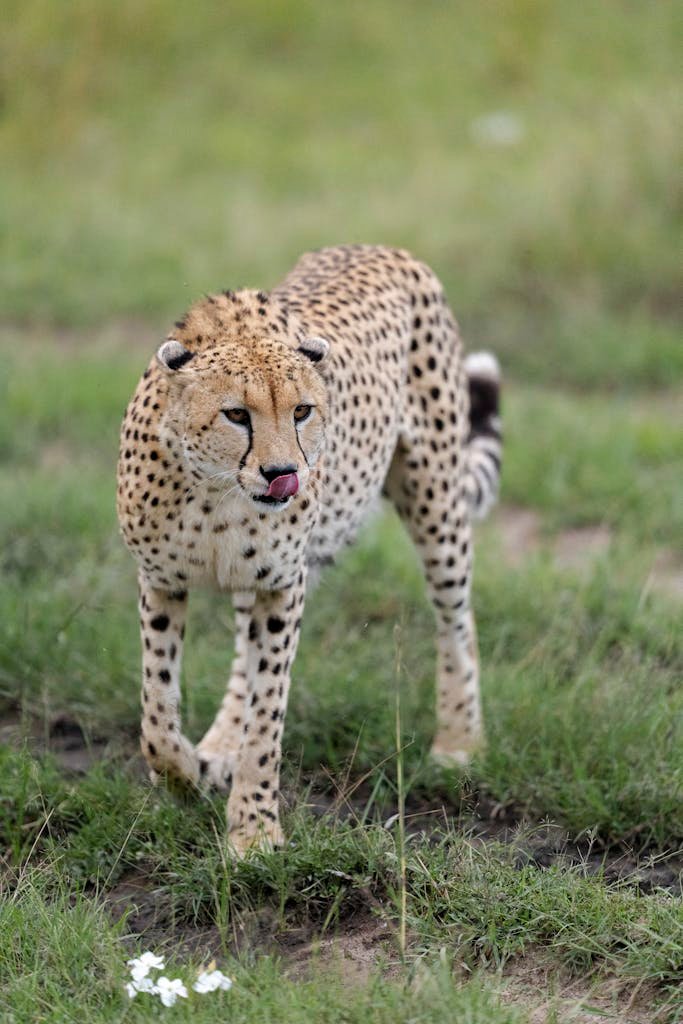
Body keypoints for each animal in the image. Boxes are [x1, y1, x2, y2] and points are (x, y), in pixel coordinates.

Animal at [116, 245, 502, 856]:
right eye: (236, 414)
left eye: (301, 411)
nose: (283, 474)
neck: (215, 492)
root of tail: (382, 246)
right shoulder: (161, 578)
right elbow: (157, 710)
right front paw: (184, 775)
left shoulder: (283, 584)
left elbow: (268, 711)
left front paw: (253, 829)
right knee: (239, 658)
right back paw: (217, 746)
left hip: (436, 498)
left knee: (455, 617)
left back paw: (459, 740)